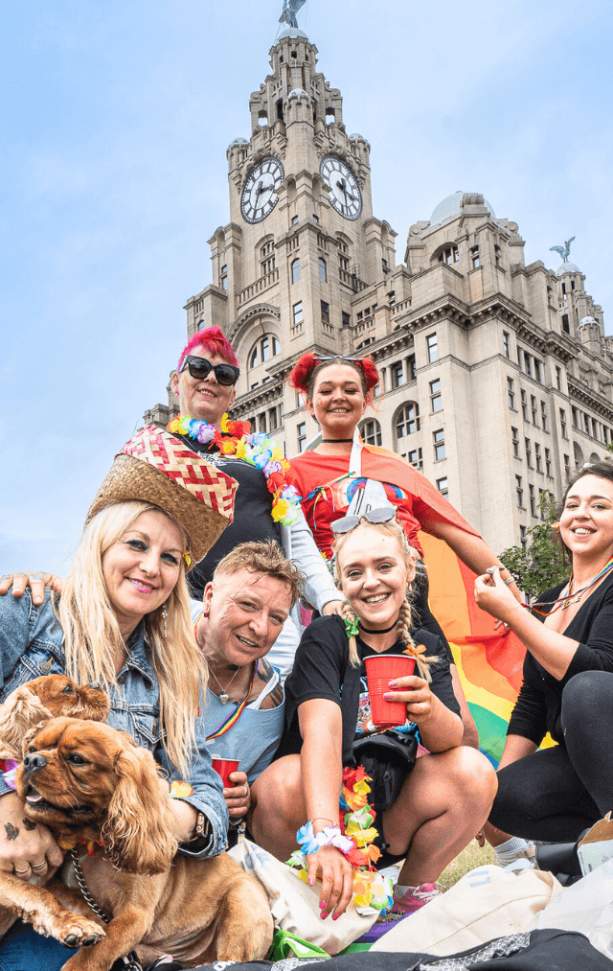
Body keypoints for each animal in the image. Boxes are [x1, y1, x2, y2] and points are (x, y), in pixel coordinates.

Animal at [1, 716, 270, 968]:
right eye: (32, 748)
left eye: (77, 759)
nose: (32, 760)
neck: (88, 841)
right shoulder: (61, 885)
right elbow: (54, 897)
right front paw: (79, 923)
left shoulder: (135, 915)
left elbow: (98, 951)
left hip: (241, 904)